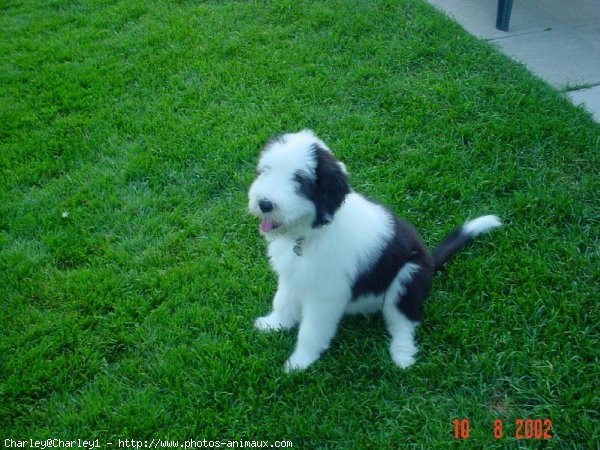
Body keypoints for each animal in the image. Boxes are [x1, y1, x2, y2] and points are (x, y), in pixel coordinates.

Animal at [248, 130, 502, 372]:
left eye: (299, 180)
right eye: (266, 171)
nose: (264, 204)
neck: (311, 233)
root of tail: (430, 260)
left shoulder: (325, 296)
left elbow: (311, 331)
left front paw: (299, 363)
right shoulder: (291, 277)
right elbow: (282, 302)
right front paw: (274, 324)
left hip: (407, 279)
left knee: (404, 322)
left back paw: (402, 354)